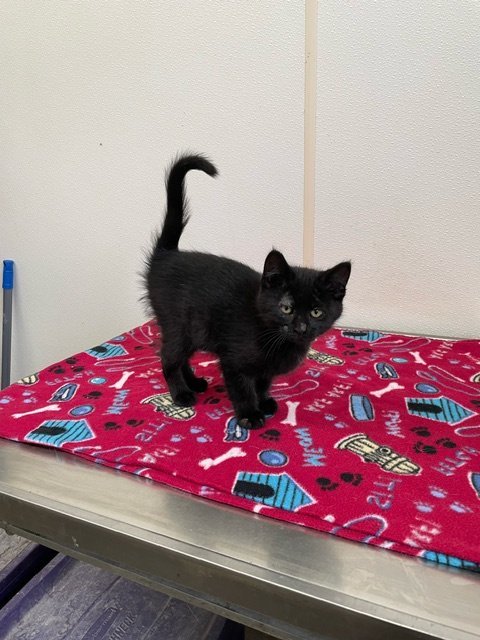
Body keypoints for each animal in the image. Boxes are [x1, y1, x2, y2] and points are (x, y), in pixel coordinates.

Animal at [144, 152, 350, 428]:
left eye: (317, 312)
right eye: (286, 308)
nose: (300, 328)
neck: (274, 336)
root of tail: (166, 255)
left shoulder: (265, 368)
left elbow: (262, 382)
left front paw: (263, 402)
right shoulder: (233, 359)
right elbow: (242, 387)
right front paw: (249, 413)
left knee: (180, 355)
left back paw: (195, 383)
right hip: (178, 323)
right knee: (169, 357)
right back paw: (181, 394)